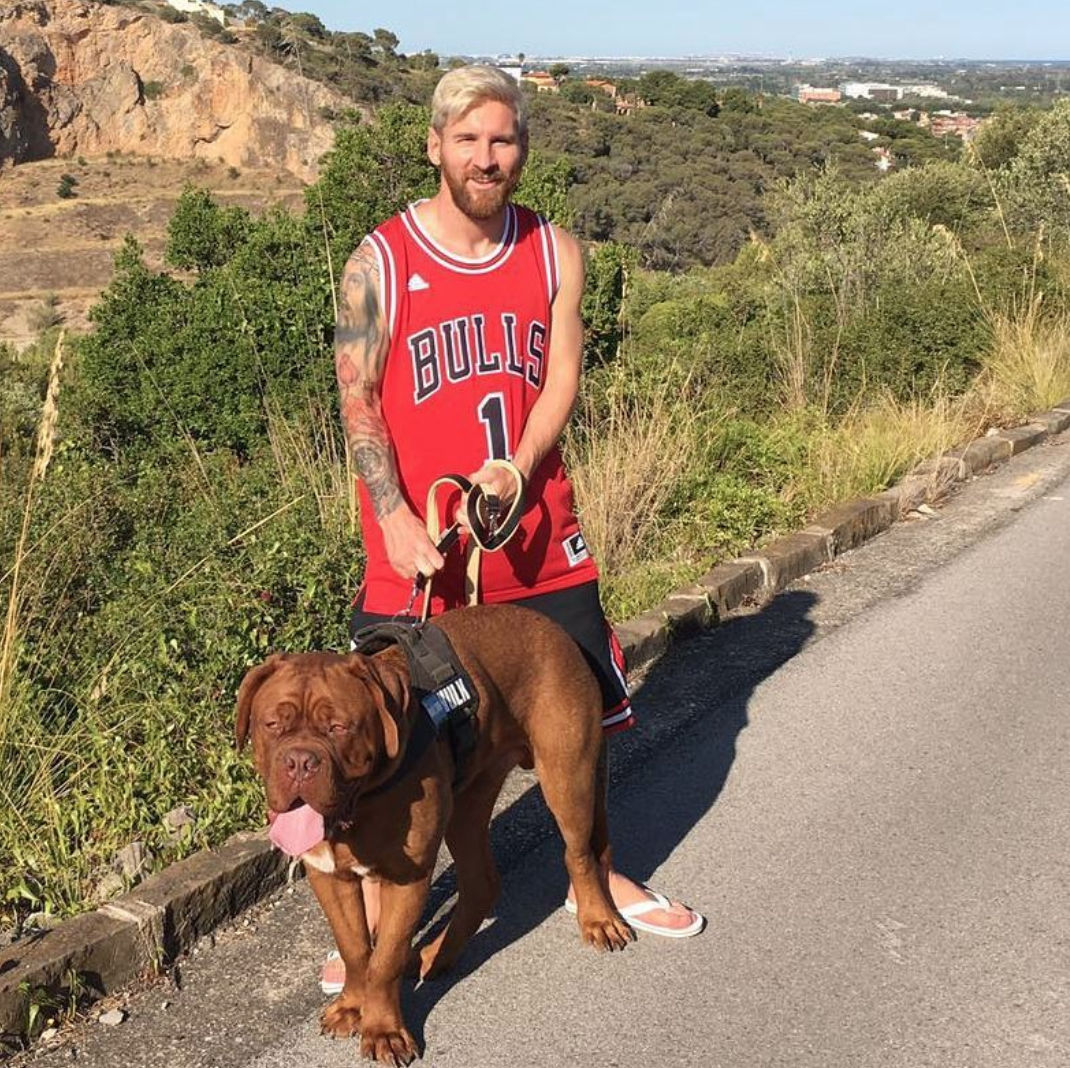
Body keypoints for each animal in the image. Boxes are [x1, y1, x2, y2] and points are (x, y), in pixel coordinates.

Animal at [234, 607, 629, 1065]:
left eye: (339, 727)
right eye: (272, 724)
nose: (300, 761)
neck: (363, 801)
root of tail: (552, 627)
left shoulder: (407, 879)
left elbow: (384, 959)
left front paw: (383, 1030)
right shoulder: (328, 875)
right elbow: (355, 948)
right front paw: (352, 1006)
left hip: (568, 775)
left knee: (579, 853)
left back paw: (598, 919)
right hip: (468, 804)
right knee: (481, 882)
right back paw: (436, 955)